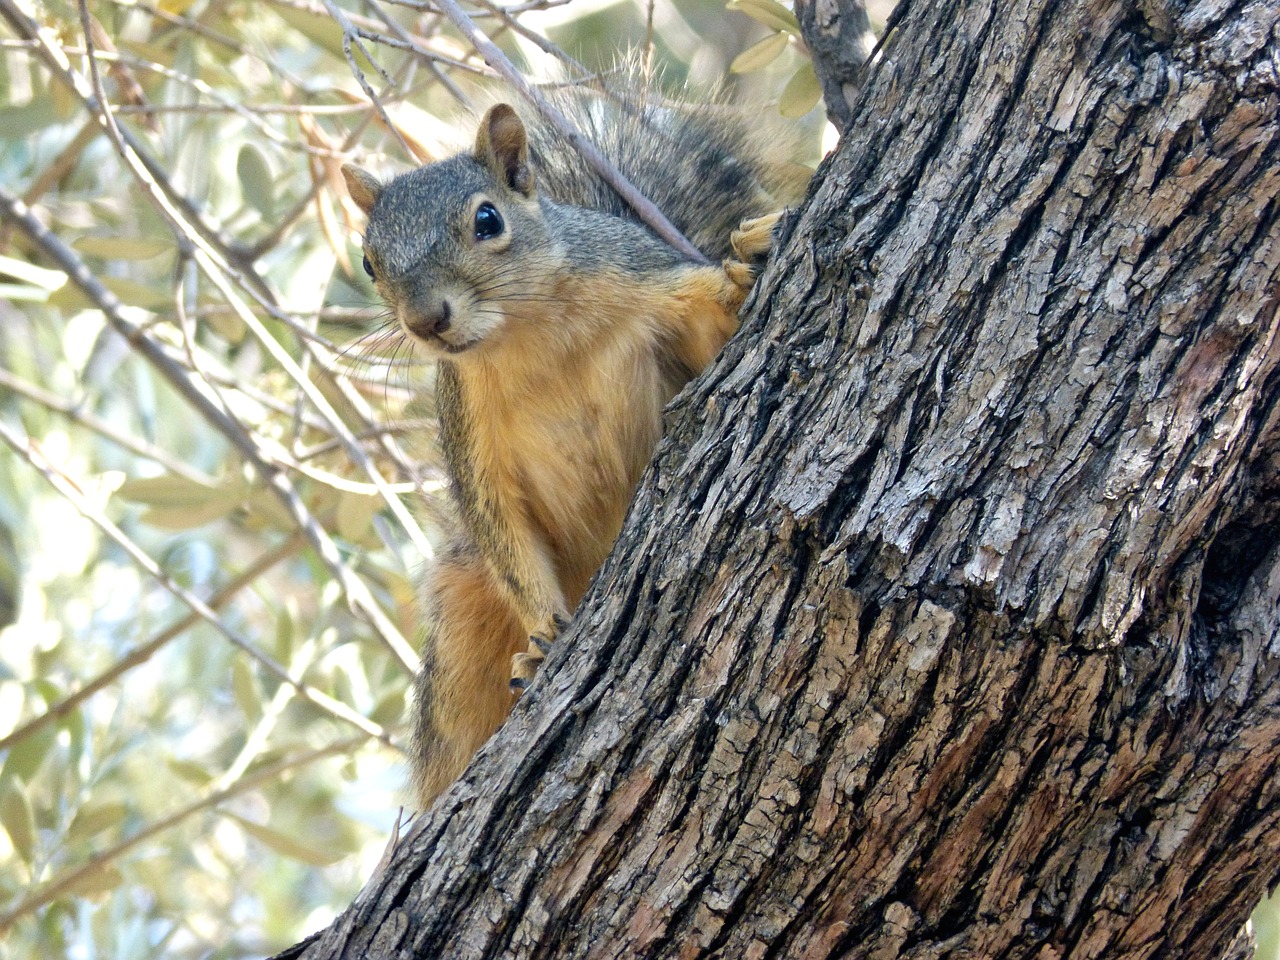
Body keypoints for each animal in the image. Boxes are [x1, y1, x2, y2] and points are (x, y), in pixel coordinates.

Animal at [345, 75, 793, 808]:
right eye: (368, 261)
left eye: (488, 221)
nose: (426, 320)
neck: (528, 336)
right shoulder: (472, 441)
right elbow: (504, 536)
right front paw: (544, 634)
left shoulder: (645, 281)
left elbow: (716, 328)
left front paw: (746, 256)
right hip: (462, 630)